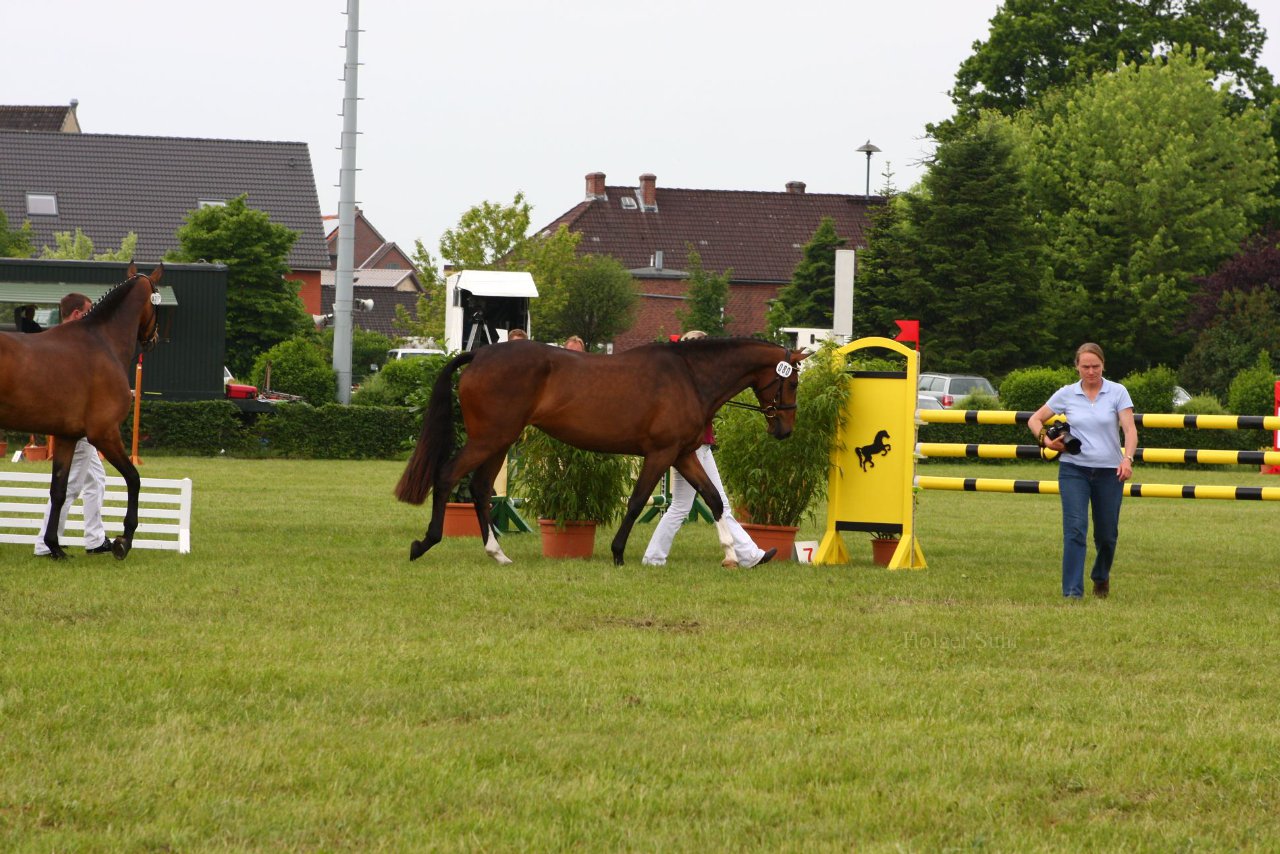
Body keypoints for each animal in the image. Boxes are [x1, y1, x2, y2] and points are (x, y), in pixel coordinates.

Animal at [0, 263, 165, 563]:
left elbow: (59, 491)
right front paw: (124, 540)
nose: (153, 339)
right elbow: (134, 479)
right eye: (157, 299)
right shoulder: (105, 434)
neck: (102, 341)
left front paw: (53, 546)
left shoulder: (67, 437)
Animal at [394, 335, 803, 568]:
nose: (785, 430)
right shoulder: (661, 453)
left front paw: (732, 555)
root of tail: (479, 356)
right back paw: (424, 544)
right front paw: (618, 552)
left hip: (500, 441)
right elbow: (636, 502)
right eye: (793, 382)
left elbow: (715, 499)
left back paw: (498, 553)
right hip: (489, 439)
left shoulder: (683, 454)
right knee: (447, 476)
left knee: (480, 489)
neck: (689, 376)